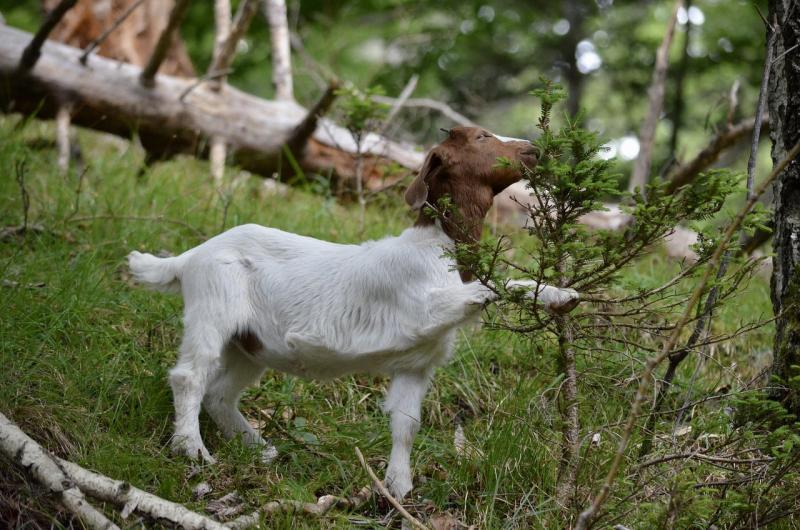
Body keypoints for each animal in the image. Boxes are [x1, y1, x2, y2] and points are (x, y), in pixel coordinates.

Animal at [128, 126, 580, 498]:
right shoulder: (424, 308)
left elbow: (406, 424)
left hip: (249, 343)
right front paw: (560, 294)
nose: (532, 149)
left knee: (220, 393)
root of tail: (189, 258)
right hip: (213, 307)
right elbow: (493, 286)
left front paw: (398, 489)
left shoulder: (416, 362)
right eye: (481, 137)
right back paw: (193, 451)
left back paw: (260, 450)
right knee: (190, 376)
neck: (439, 247)